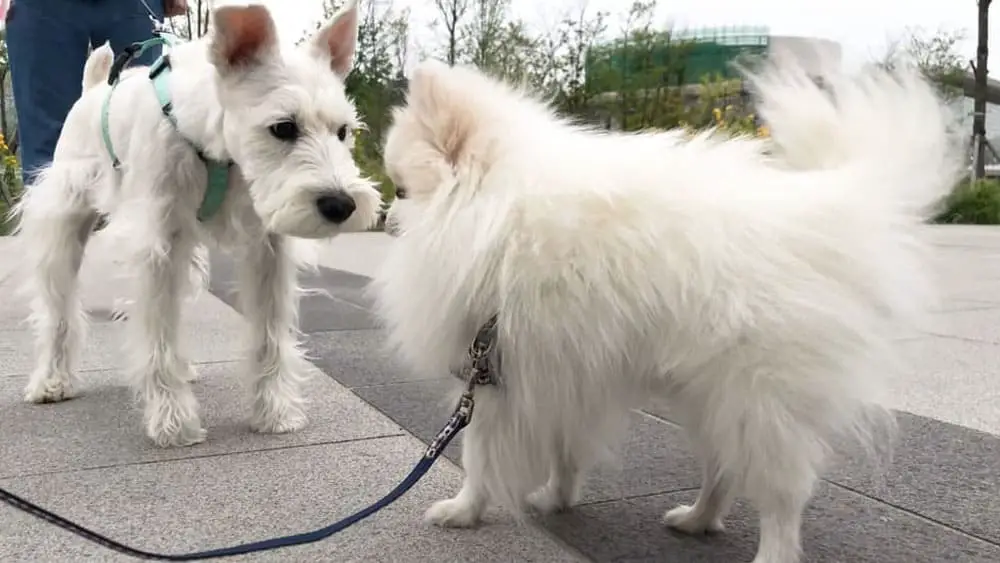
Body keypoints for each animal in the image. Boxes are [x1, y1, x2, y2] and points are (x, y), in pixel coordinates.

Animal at [9, 1, 380, 450]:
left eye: (343, 131)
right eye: (283, 127)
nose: (341, 205)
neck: (214, 148)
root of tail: (93, 88)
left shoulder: (267, 248)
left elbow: (270, 334)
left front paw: (275, 411)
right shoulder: (156, 246)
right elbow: (157, 339)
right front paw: (172, 421)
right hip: (63, 222)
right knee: (58, 308)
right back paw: (52, 380)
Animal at [372, 58, 964, 563]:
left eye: (402, 189)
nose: (383, 216)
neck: (499, 210)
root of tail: (831, 209)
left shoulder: (496, 372)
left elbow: (476, 452)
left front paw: (463, 509)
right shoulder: (562, 371)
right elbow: (565, 447)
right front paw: (556, 497)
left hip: (755, 396)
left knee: (782, 494)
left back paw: (768, 550)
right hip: (712, 396)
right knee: (724, 468)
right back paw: (698, 519)